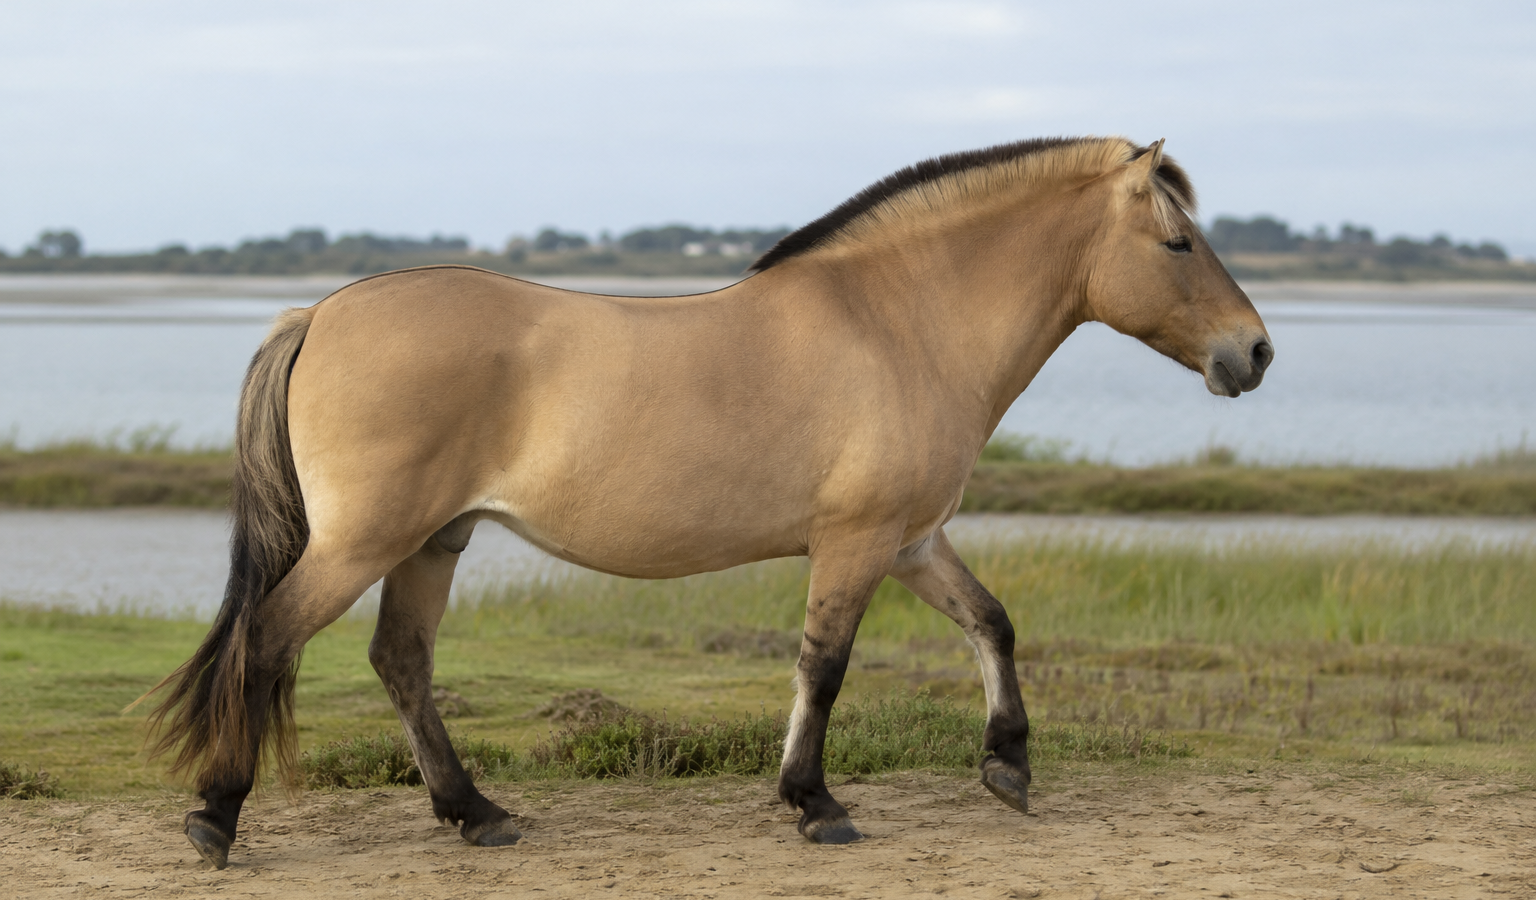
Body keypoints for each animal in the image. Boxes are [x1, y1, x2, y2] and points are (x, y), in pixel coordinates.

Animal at [139, 135, 1272, 869]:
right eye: (1177, 243)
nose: (1254, 352)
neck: (900, 322)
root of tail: (319, 312)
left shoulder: (913, 541)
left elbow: (991, 623)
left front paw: (1008, 768)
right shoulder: (857, 543)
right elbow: (824, 667)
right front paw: (814, 804)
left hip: (432, 542)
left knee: (400, 664)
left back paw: (477, 814)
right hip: (366, 542)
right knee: (268, 641)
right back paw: (217, 821)